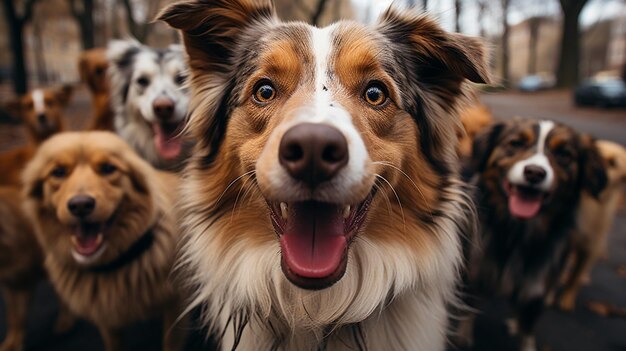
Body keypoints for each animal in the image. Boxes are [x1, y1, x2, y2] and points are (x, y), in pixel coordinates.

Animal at [22, 131, 188, 351]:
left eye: (108, 168)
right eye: (58, 172)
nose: (80, 205)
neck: (115, 265)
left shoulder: (175, 306)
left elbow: (170, 343)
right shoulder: (106, 319)